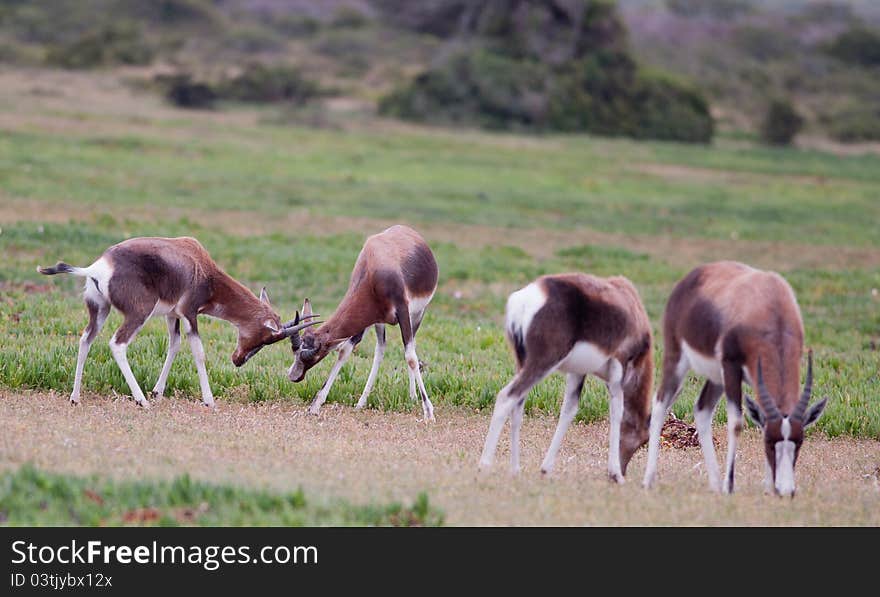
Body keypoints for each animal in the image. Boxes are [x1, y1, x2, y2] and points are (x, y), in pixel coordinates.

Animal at [38, 235, 320, 408]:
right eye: (266, 338)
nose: (238, 360)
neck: (200, 265)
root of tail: (96, 268)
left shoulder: (172, 315)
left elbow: (174, 346)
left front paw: (158, 391)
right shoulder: (189, 314)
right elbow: (198, 352)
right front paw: (209, 400)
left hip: (100, 309)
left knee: (86, 339)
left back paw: (75, 397)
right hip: (138, 314)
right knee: (117, 344)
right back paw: (141, 401)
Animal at [288, 224, 440, 420]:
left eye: (313, 355)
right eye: (296, 352)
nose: (293, 376)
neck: (374, 264)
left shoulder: (403, 312)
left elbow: (410, 357)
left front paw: (428, 412)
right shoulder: (368, 318)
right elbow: (344, 350)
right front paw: (315, 404)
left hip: (417, 314)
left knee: (410, 347)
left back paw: (413, 396)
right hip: (377, 322)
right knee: (380, 350)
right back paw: (361, 402)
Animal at [474, 272, 652, 480]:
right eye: (644, 439)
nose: (623, 471)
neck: (631, 305)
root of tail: (525, 299)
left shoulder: (578, 372)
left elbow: (569, 410)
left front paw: (545, 468)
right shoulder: (619, 367)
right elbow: (617, 412)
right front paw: (615, 472)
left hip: (523, 363)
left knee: (517, 405)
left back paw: (515, 469)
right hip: (543, 362)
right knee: (506, 397)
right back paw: (484, 465)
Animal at [640, 260, 824, 494]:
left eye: (799, 442)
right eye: (769, 442)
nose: (785, 490)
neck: (770, 303)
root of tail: (692, 276)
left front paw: (767, 488)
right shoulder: (732, 367)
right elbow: (736, 423)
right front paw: (730, 485)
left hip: (717, 378)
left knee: (702, 409)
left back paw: (715, 484)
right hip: (679, 360)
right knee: (660, 402)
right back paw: (649, 479)